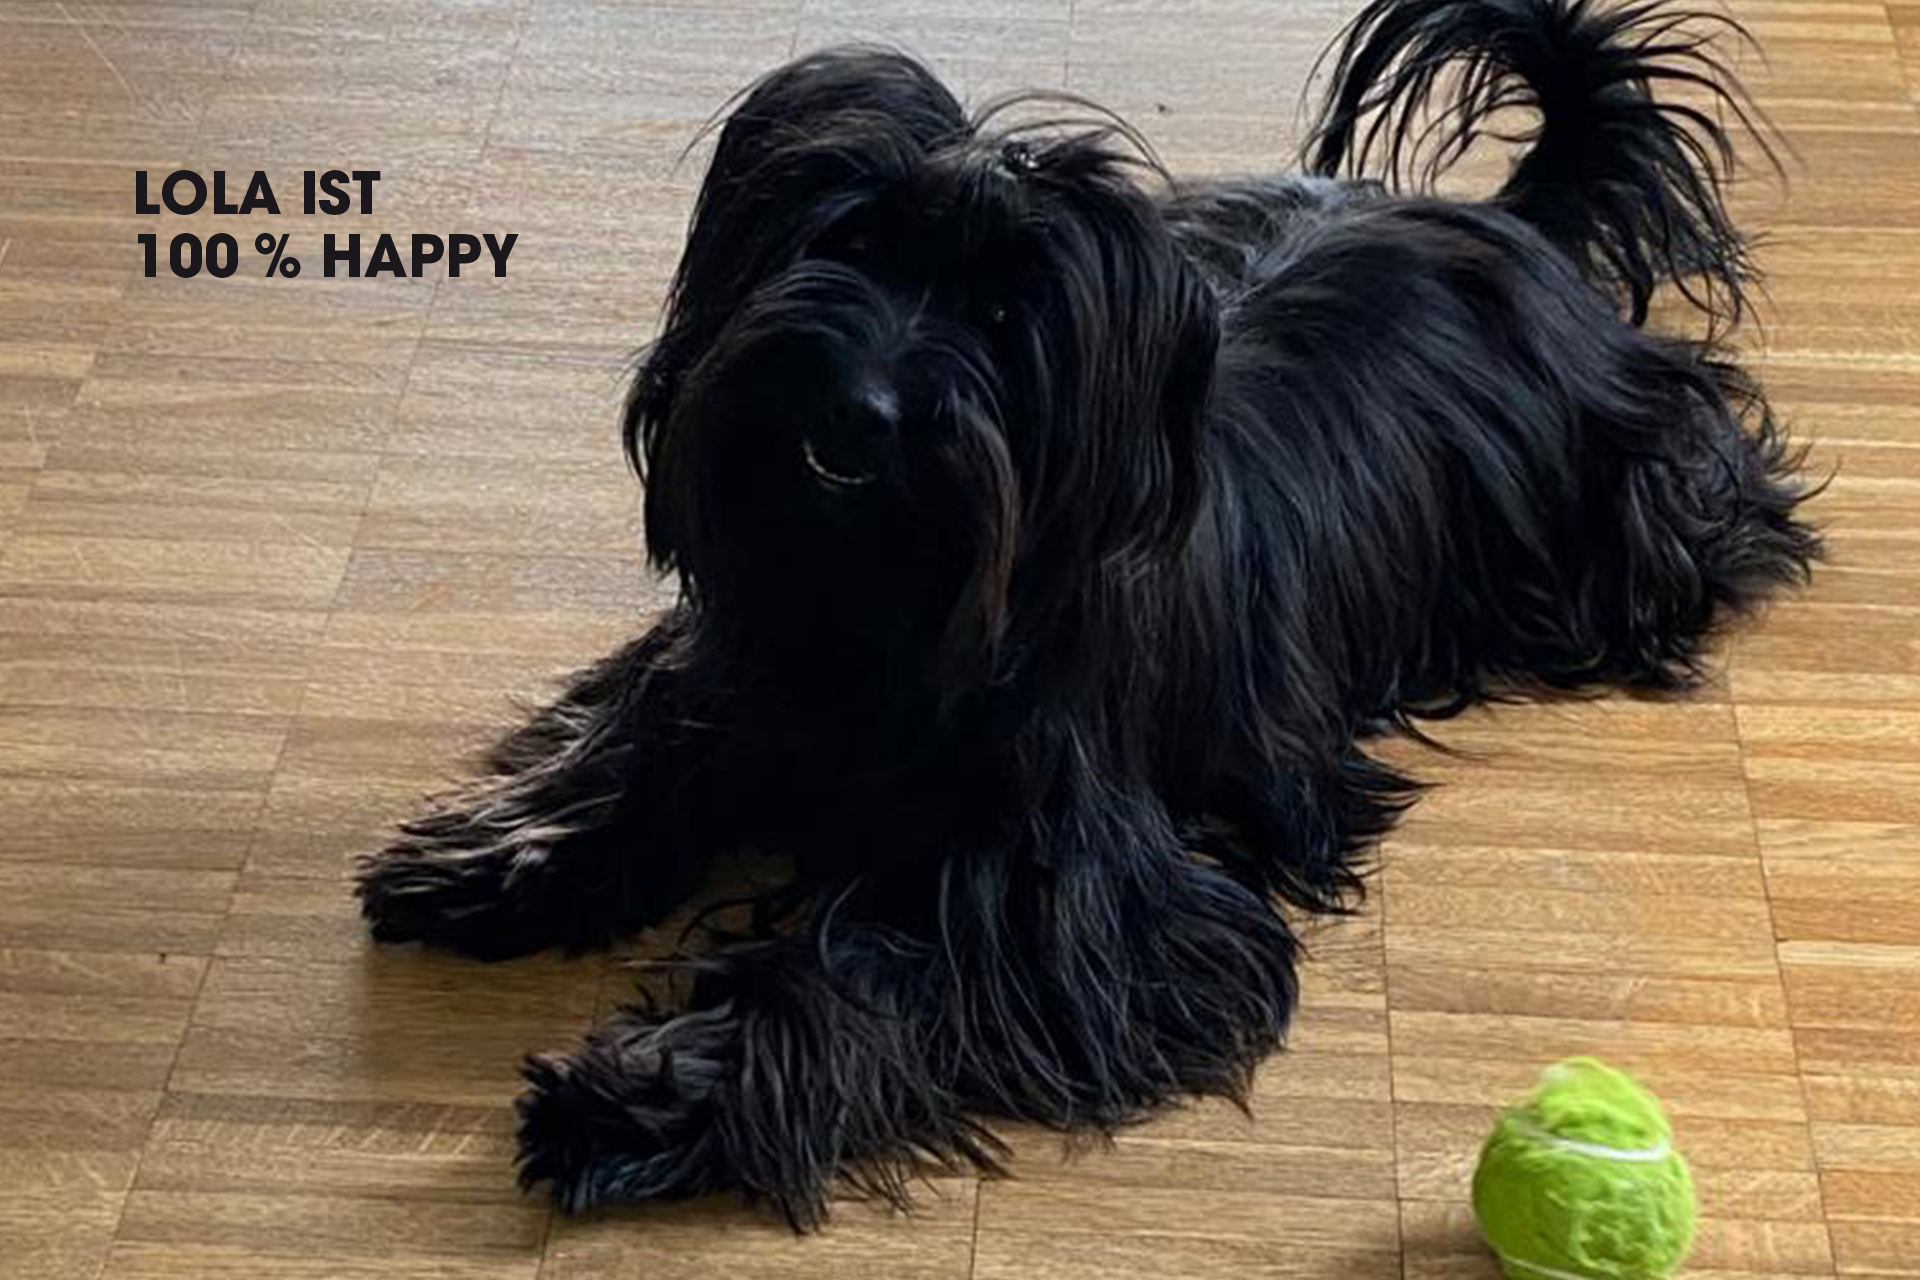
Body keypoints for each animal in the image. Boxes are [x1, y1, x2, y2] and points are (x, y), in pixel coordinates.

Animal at [357, 0, 1812, 1228]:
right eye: (848, 243)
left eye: (1008, 313)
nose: (855, 415)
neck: (874, 600)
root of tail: (1516, 222)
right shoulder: (736, 667)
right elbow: (639, 746)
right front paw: (498, 854)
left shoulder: (1077, 909)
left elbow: (865, 969)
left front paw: (640, 1095)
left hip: (1628, 512)